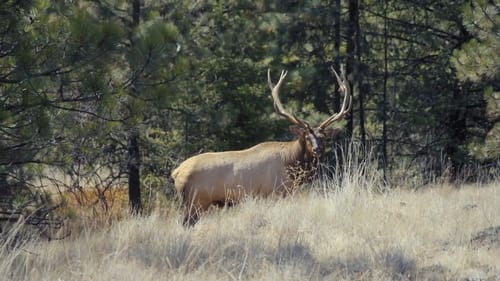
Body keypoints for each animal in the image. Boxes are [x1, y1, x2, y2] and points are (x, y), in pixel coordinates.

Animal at [172, 67, 352, 225]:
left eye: (323, 137)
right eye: (307, 137)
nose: (317, 150)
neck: (291, 165)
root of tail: (176, 172)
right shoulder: (274, 193)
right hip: (196, 201)